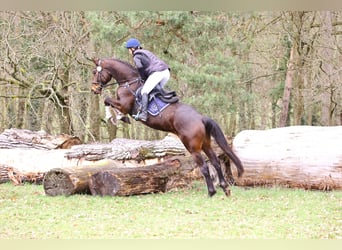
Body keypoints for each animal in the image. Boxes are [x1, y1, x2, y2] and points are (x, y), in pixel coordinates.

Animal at [91, 57, 243, 197]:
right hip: (206, 144)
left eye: (95, 72)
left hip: (192, 147)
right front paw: (117, 117)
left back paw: (211, 192)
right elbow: (108, 102)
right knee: (216, 162)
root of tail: (201, 118)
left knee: (204, 167)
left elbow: (107, 101)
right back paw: (225, 188)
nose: (94, 89)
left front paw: (116, 117)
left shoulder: (124, 105)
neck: (129, 82)